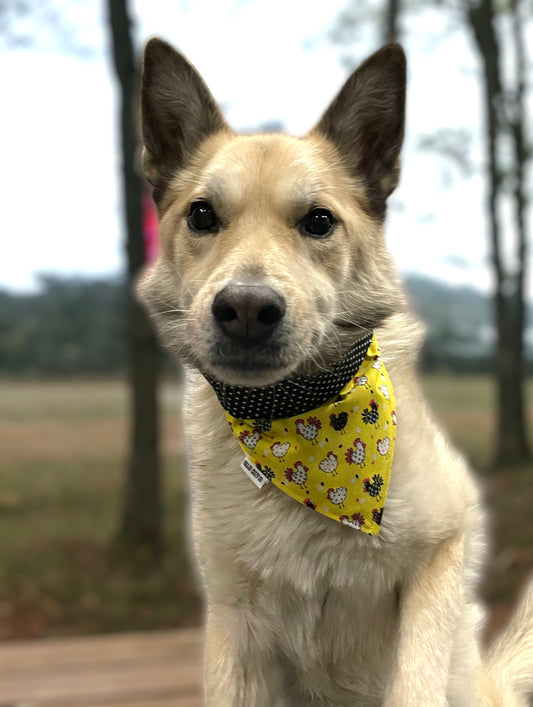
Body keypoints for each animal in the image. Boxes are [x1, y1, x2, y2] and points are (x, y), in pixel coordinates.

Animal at [136, 38, 532, 707]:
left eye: (319, 221)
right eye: (202, 215)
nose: (247, 309)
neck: (300, 417)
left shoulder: (443, 548)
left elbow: (415, 682)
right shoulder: (232, 615)